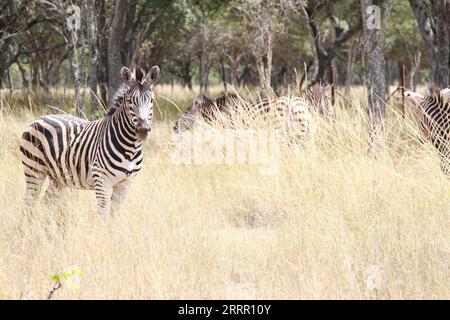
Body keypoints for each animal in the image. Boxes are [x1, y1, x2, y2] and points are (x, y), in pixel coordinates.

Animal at [21, 64, 162, 215]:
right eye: (130, 101)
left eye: (151, 101)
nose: (143, 130)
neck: (131, 148)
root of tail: (39, 118)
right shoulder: (102, 181)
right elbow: (103, 215)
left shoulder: (126, 184)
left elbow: (114, 215)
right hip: (34, 170)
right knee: (28, 202)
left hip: (57, 177)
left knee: (47, 201)